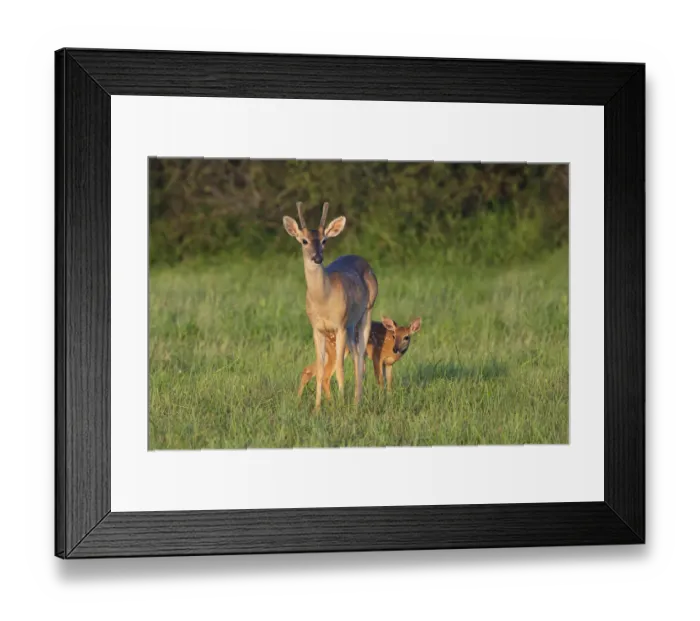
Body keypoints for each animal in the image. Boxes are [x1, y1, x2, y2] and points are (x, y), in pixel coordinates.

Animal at [283, 202, 378, 410]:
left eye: (324, 240)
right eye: (304, 241)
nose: (318, 258)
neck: (323, 300)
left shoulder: (339, 325)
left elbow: (341, 368)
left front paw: (341, 406)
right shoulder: (317, 329)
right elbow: (319, 368)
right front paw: (317, 408)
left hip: (366, 311)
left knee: (360, 355)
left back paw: (357, 401)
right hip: (350, 325)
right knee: (356, 354)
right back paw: (356, 399)